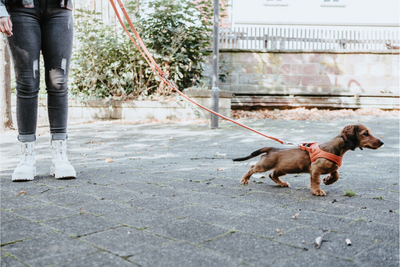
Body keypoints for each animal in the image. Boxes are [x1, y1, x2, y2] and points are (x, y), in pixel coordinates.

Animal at [234, 124, 384, 197]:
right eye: (365, 133)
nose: (382, 142)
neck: (335, 149)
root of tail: (272, 148)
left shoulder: (332, 167)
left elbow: (336, 174)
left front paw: (328, 180)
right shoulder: (316, 169)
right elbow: (316, 181)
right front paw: (317, 191)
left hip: (284, 168)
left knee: (272, 174)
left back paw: (282, 183)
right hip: (265, 165)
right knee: (253, 167)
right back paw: (244, 179)